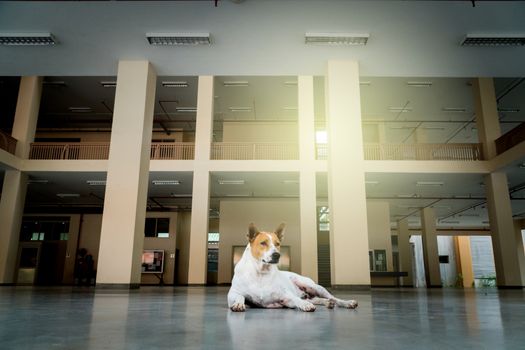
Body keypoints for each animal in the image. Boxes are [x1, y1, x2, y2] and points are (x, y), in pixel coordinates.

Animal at [227, 221, 358, 312]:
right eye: (263, 243)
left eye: (277, 244)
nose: (277, 255)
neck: (261, 272)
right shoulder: (233, 293)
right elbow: (240, 297)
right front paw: (238, 304)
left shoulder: (286, 296)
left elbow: (295, 299)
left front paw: (304, 305)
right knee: (318, 299)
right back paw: (327, 303)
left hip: (314, 286)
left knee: (334, 298)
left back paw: (347, 303)